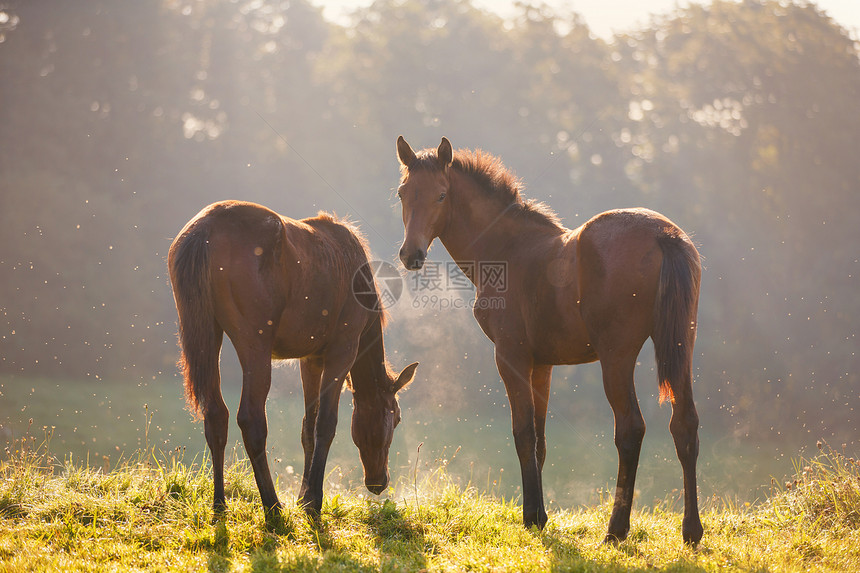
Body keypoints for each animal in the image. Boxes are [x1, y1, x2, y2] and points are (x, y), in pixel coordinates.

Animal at [167, 201, 416, 524]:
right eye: (396, 417)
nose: (378, 482)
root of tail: (204, 230)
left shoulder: (311, 358)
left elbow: (307, 427)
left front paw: (302, 494)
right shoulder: (342, 349)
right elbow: (326, 424)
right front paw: (313, 501)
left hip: (207, 332)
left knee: (216, 415)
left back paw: (219, 504)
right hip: (254, 343)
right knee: (251, 419)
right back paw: (272, 506)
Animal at [394, 136, 704, 544]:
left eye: (442, 195)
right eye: (402, 193)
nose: (410, 255)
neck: (507, 250)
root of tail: (663, 235)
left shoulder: (510, 356)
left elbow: (523, 433)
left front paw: (532, 517)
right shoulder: (542, 364)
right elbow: (540, 441)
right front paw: (540, 514)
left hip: (617, 356)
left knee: (631, 429)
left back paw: (616, 530)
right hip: (681, 345)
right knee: (684, 425)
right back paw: (692, 531)